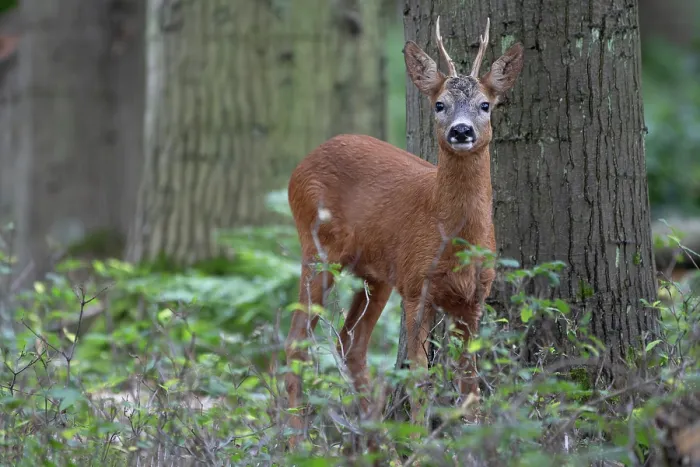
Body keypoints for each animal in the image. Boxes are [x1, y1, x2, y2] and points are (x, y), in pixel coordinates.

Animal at [283, 17, 523, 447]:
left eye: (485, 105)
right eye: (439, 104)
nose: (461, 131)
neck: (456, 240)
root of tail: (304, 161)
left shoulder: (475, 297)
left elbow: (470, 381)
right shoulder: (416, 287)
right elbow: (419, 377)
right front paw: (418, 443)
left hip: (375, 274)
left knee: (350, 341)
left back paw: (376, 441)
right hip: (317, 248)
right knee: (297, 342)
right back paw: (297, 444)